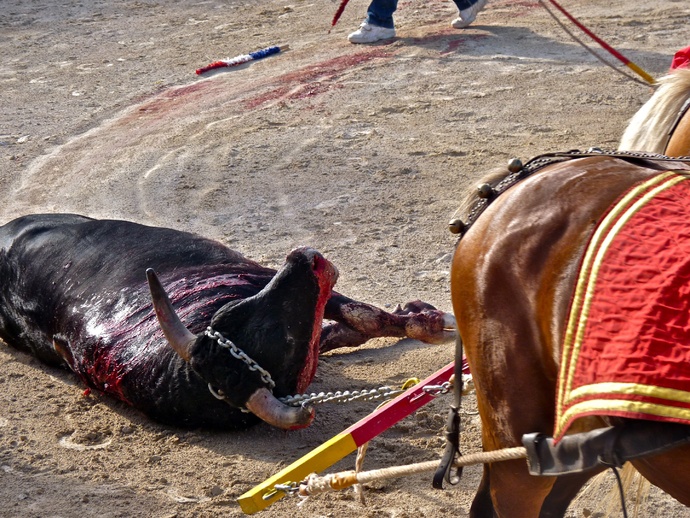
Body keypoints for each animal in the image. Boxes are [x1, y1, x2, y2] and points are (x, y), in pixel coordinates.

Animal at [0, 214, 455, 430]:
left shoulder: (259, 277)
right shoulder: (264, 279)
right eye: (278, 336)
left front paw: (427, 320)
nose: (304, 257)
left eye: (228, 314)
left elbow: (360, 317)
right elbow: (358, 316)